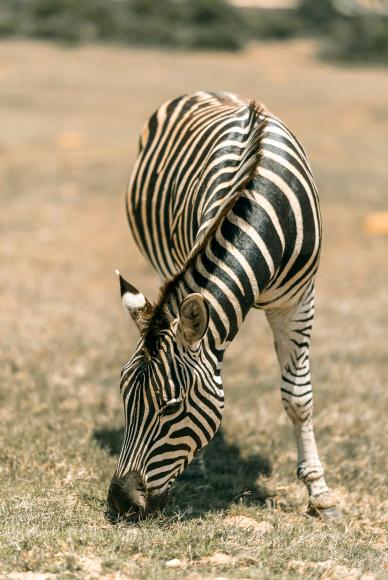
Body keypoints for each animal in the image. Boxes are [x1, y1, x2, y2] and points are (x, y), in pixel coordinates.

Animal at [107, 92, 338, 520]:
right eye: (123, 396)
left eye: (171, 408)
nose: (120, 501)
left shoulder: (299, 301)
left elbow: (298, 398)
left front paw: (319, 492)